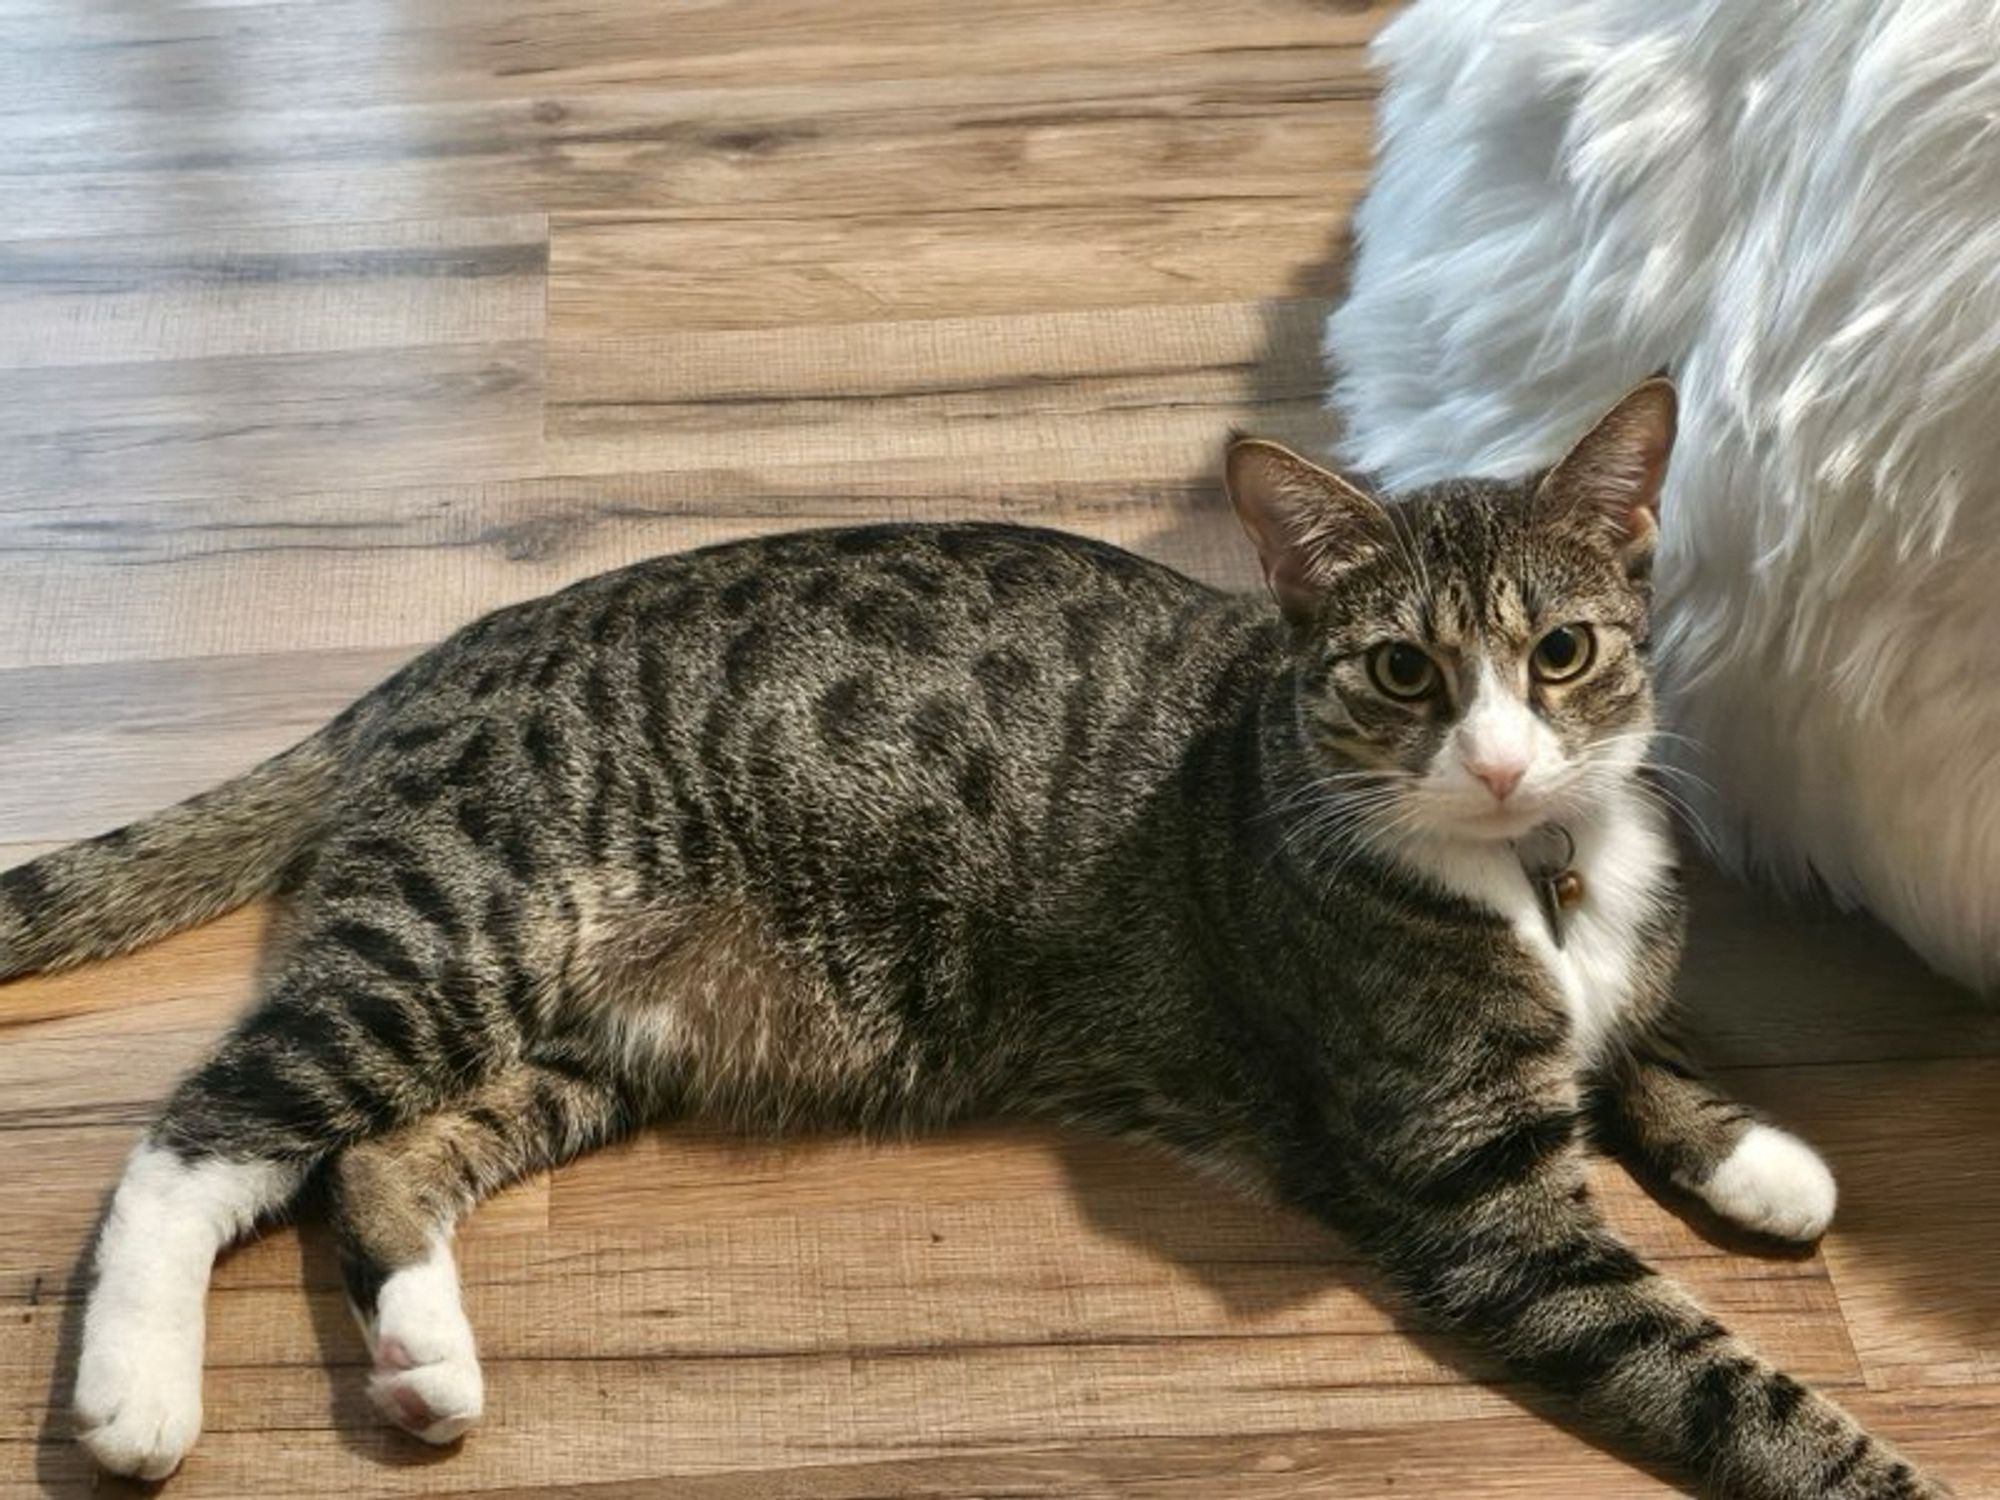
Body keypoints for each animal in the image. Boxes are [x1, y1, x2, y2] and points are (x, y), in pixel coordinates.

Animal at [0, 382, 1936, 1496]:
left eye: (1562, 652)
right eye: (1401, 671)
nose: (1503, 755)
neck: (1532, 867)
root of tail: (426, 666)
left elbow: (1647, 1039)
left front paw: (1763, 1157)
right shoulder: (1471, 1188)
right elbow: (1723, 1383)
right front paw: (1872, 1462)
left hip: (584, 1042)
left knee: (375, 1160)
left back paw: (420, 1363)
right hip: (460, 930)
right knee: (202, 1134)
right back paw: (134, 1398)